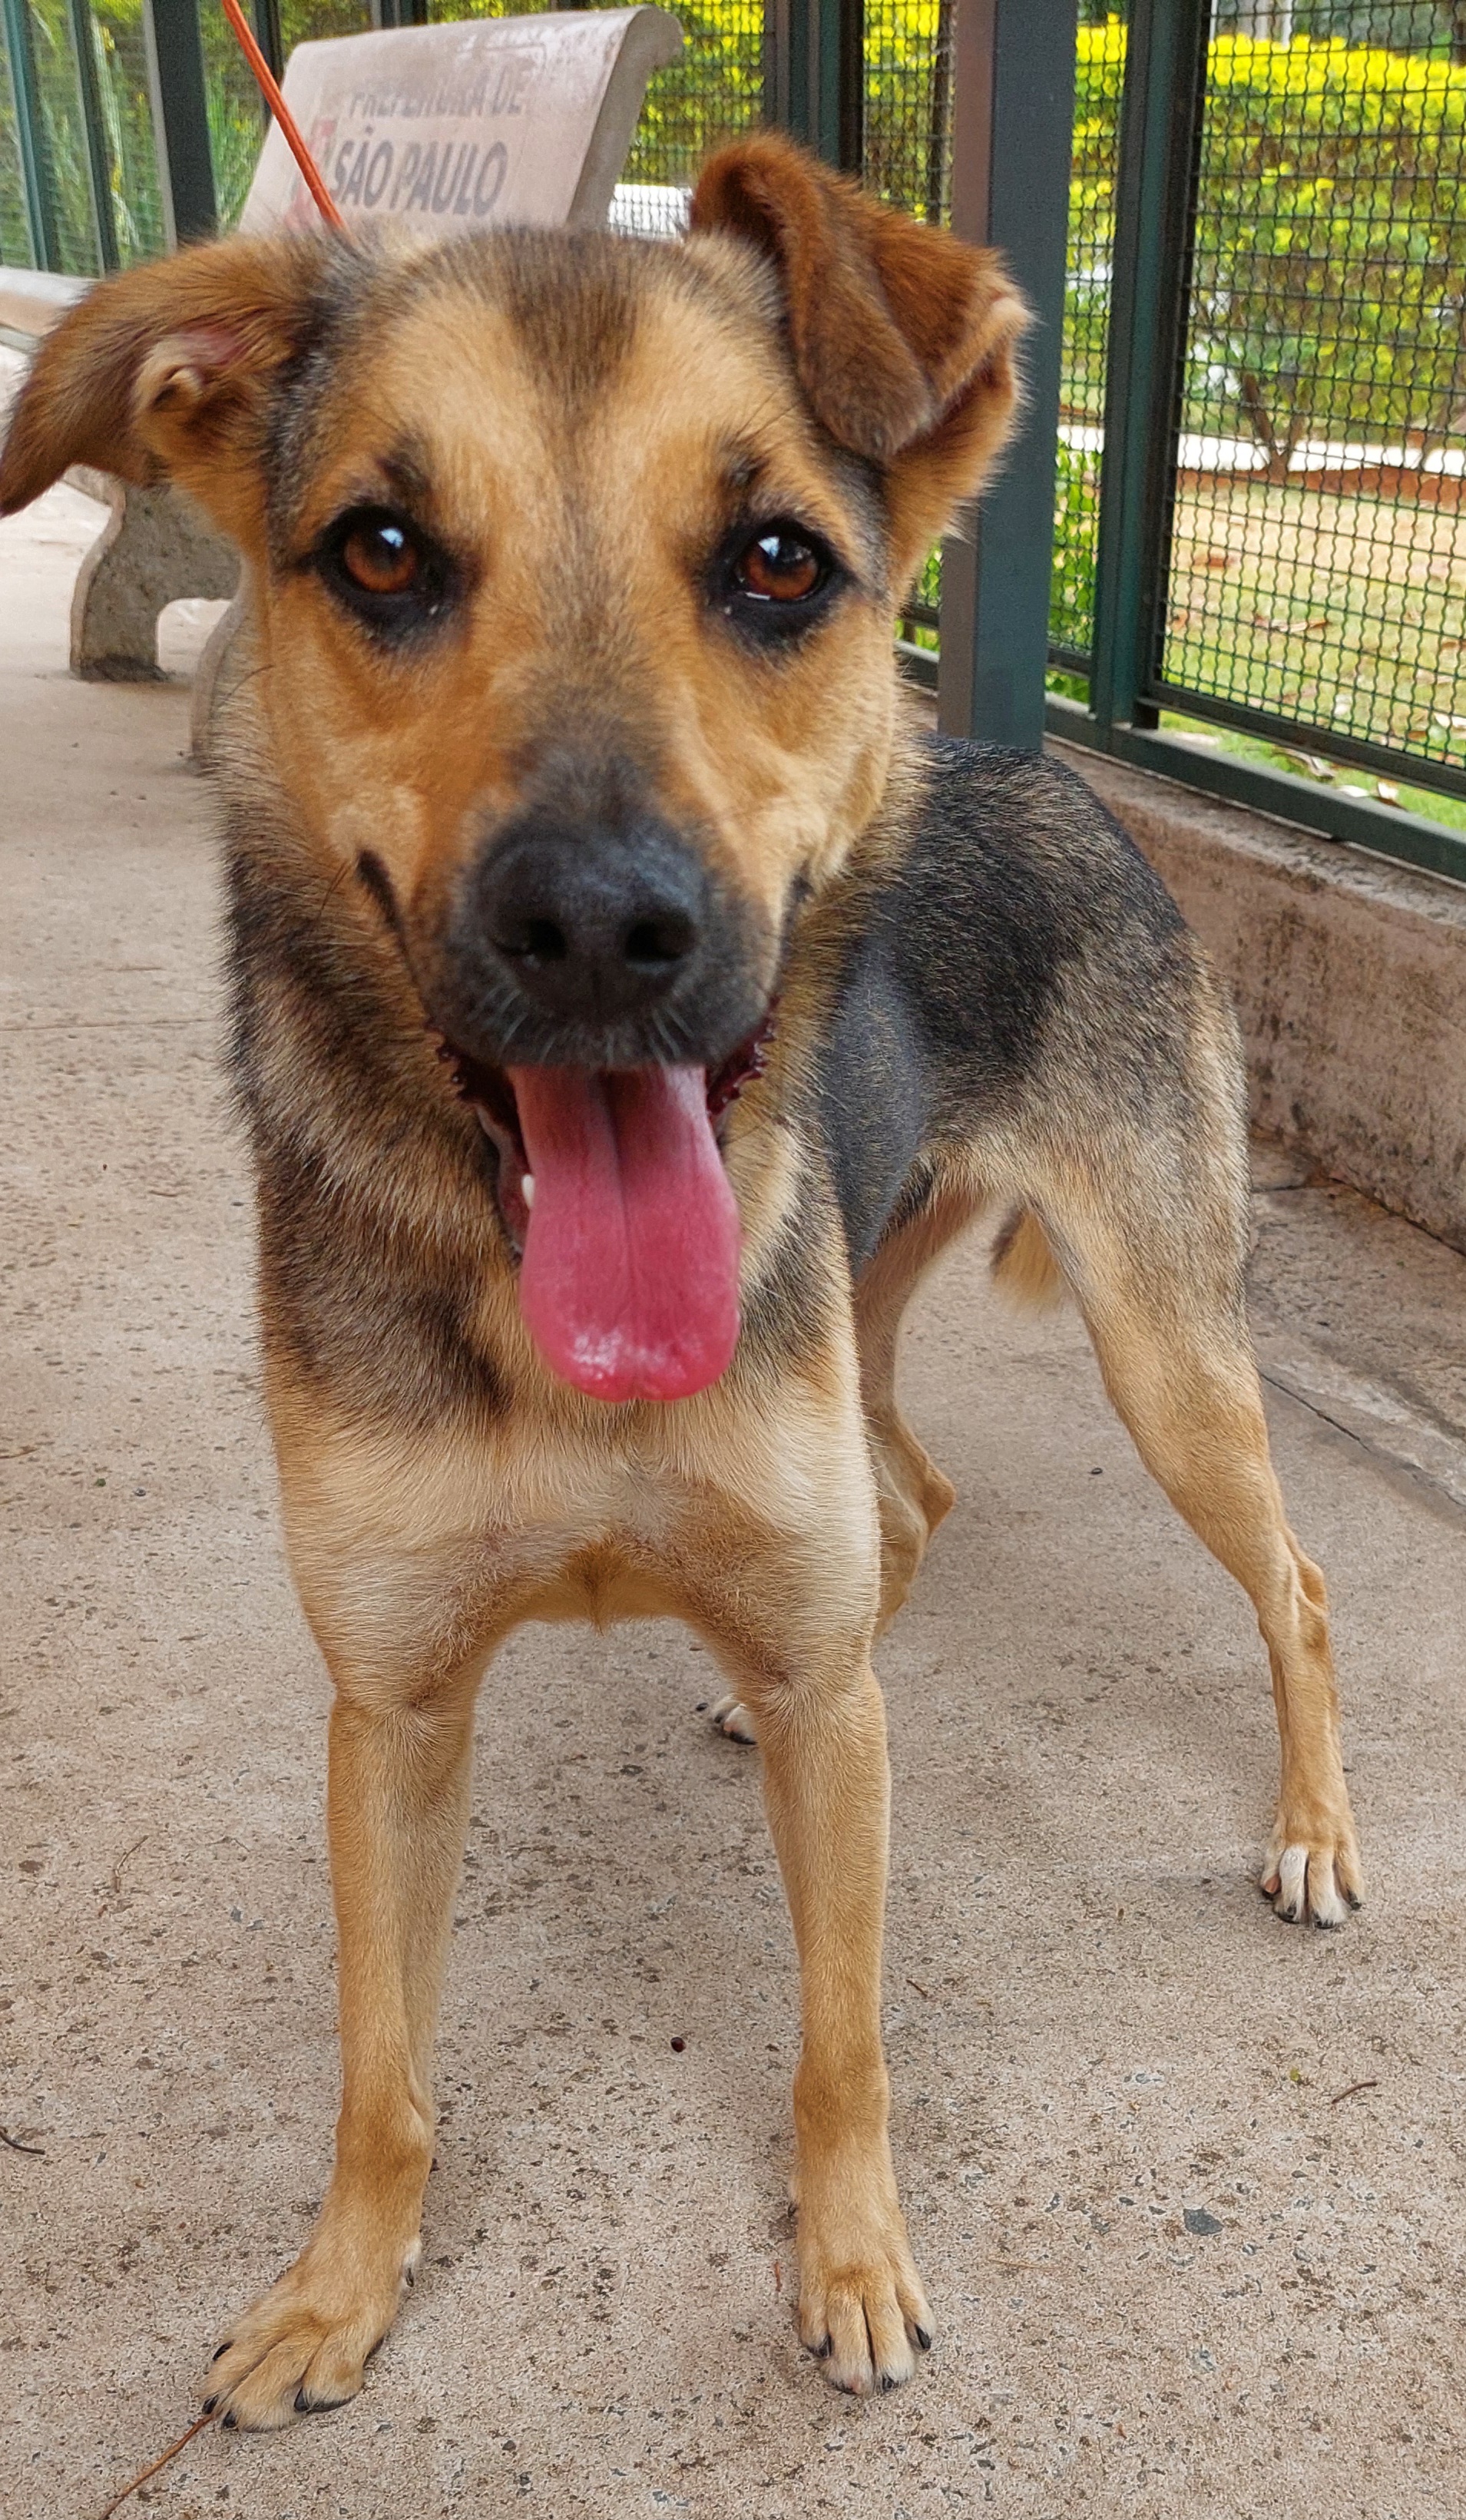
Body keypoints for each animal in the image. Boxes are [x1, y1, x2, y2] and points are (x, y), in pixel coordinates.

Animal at [0, 133, 1370, 2419]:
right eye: (379, 550)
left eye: (776, 562)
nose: (596, 929)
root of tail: (1054, 775)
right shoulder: (388, 1707)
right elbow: (380, 2070)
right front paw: (338, 2286)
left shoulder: (830, 1726)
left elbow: (841, 2038)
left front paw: (851, 2264)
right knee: (912, 1496)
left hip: (1161, 1344)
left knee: (1290, 1577)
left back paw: (1312, 1829)